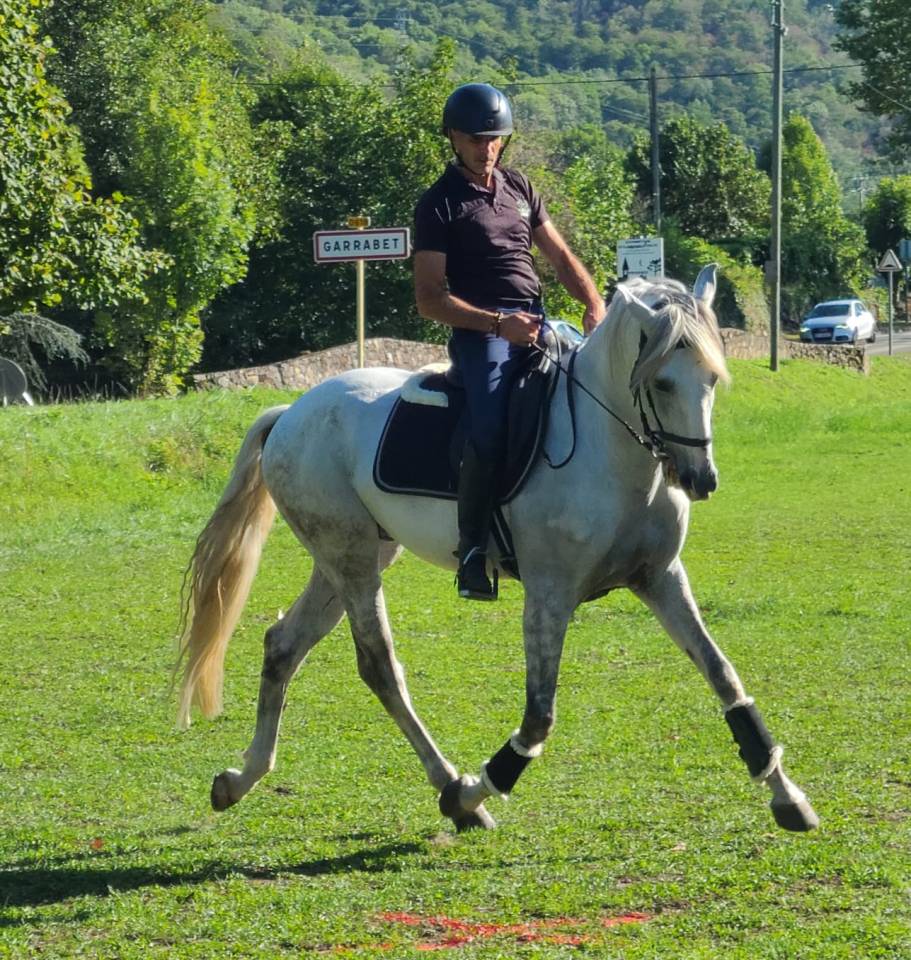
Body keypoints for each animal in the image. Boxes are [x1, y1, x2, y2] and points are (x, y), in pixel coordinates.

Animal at [175, 266, 819, 834]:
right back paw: (450, 789)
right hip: (350, 559)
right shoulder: (549, 595)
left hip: (354, 556)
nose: (700, 478)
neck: (613, 454)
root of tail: (293, 412)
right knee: (378, 666)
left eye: (711, 379)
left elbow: (724, 677)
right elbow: (537, 719)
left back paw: (240, 779)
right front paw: (473, 790)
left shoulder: (660, 577)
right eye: (660, 382)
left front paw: (787, 796)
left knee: (285, 644)